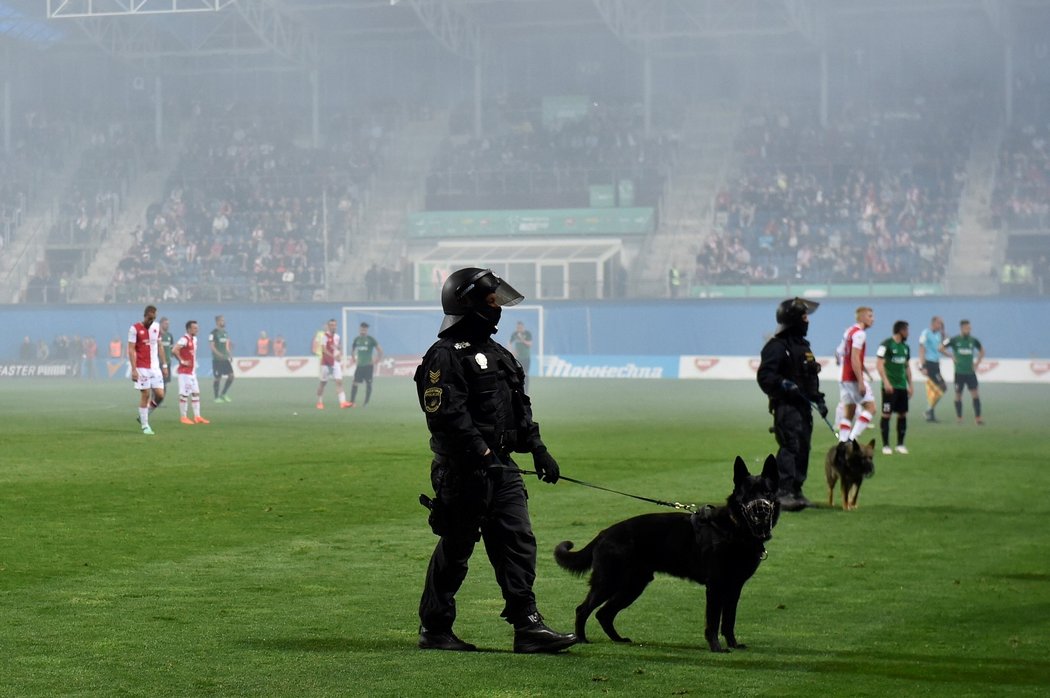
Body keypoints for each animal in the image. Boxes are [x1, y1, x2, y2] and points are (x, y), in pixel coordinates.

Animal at [554, 455, 776, 650]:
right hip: (609, 582)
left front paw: (733, 645)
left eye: (767, 493)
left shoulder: (734, 587)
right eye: (747, 495)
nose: (761, 511)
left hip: (633, 586)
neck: (734, 527)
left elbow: (729, 620)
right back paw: (581, 639)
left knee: (604, 614)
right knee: (583, 609)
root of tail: (603, 533)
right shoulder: (715, 586)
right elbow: (713, 621)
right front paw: (716, 648)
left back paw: (618, 639)